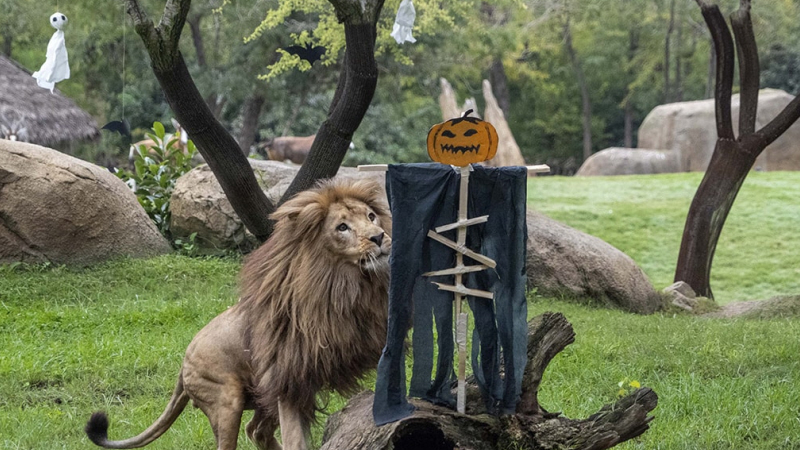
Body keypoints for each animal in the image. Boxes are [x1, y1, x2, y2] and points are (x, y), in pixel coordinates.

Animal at [85, 178, 392, 450]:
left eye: (372, 216)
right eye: (342, 227)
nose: (379, 237)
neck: (347, 285)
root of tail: (183, 366)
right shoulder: (288, 377)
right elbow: (296, 439)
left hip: (260, 395)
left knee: (256, 430)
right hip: (226, 399)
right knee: (234, 438)